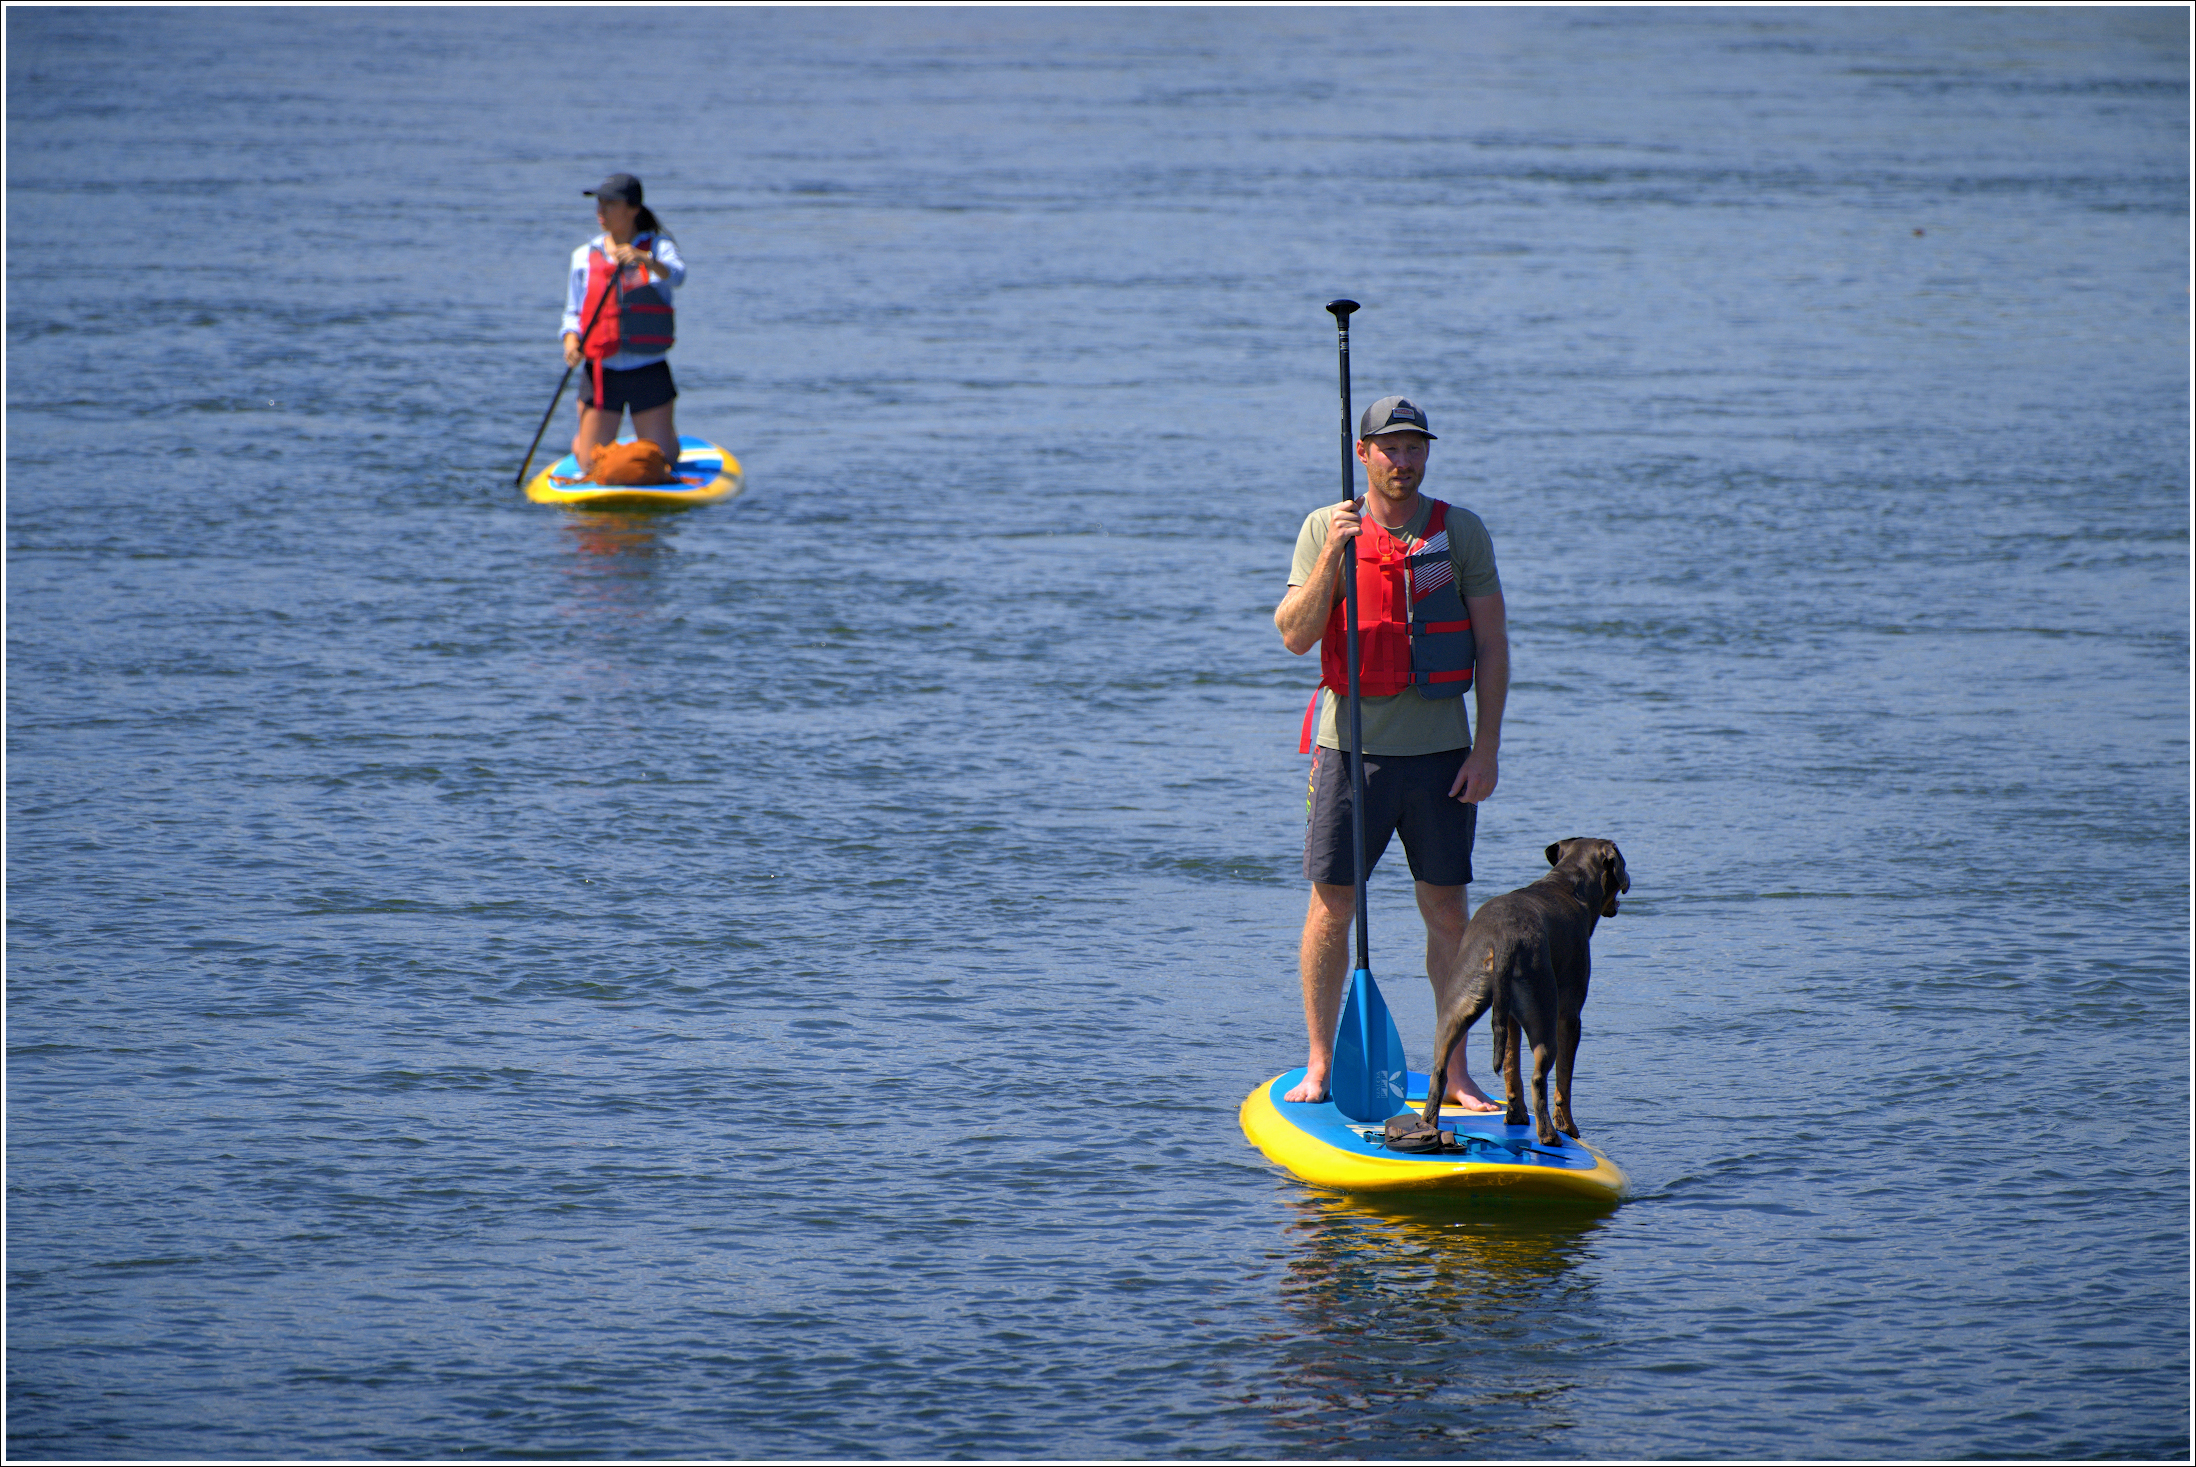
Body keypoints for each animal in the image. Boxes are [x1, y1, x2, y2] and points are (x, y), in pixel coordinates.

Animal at [1410, 838, 1628, 1148]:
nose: (1629, 879)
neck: (1568, 884)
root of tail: (1503, 938)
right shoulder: (1570, 1016)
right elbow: (1564, 1083)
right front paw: (1568, 1127)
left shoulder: (1510, 1015)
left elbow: (1511, 1069)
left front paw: (1516, 1116)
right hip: (1543, 1015)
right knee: (1540, 1077)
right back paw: (1550, 1135)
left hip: (1458, 1006)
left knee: (1440, 1071)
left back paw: (1429, 1124)